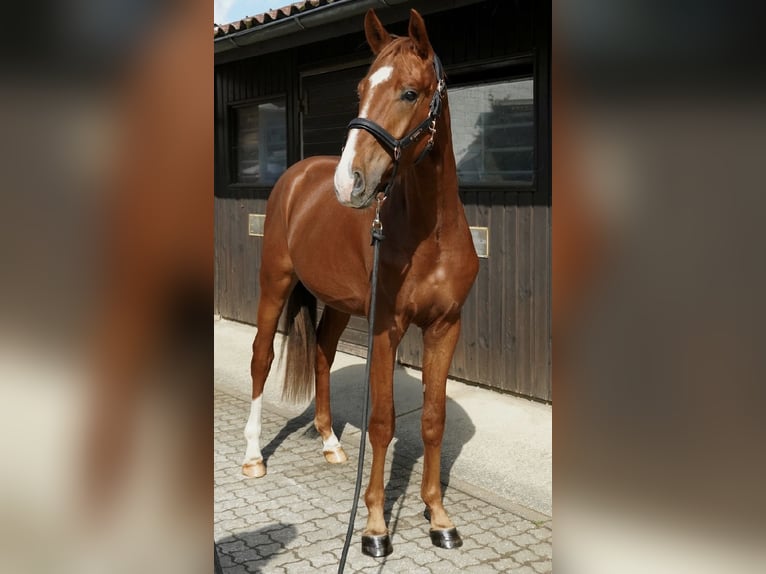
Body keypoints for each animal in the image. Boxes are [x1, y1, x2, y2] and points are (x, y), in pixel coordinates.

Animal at [242, 8, 479, 557]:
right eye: (361, 87)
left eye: (410, 93)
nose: (348, 182)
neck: (431, 233)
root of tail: (298, 176)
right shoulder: (385, 330)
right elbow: (383, 421)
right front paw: (373, 526)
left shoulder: (445, 327)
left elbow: (431, 420)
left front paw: (439, 517)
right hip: (274, 283)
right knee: (261, 357)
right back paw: (253, 456)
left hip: (339, 304)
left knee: (323, 354)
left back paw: (331, 443)